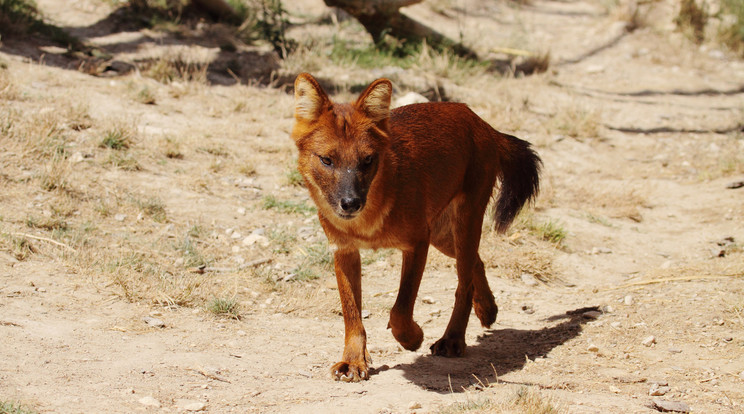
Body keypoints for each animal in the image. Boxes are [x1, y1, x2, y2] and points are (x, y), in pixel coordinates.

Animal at [290, 73, 540, 382]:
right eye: (327, 160)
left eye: (367, 160)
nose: (350, 203)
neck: (367, 220)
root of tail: (481, 121)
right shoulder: (344, 250)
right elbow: (351, 314)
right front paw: (353, 361)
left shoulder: (418, 242)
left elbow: (401, 308)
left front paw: (412, 338)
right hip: (444, 236)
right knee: (476, 263)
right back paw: (487, 309)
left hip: (464, 220)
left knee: (464, 281)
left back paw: (453, 339)